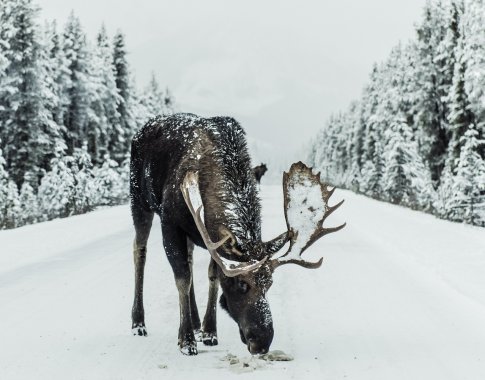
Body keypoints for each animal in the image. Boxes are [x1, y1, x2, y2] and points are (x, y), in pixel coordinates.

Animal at [129, 113, 344, 356]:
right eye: (242, 284)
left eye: (269, 283)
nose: (262, 342)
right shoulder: (170, 221)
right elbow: (182, 278)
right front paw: (186, 340)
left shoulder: (210, 237)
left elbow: (212, 275)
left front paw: (209, 331)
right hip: (139, 200)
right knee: (140, 251)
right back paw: (138, 323)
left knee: (190, 259)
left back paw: (195, 321)